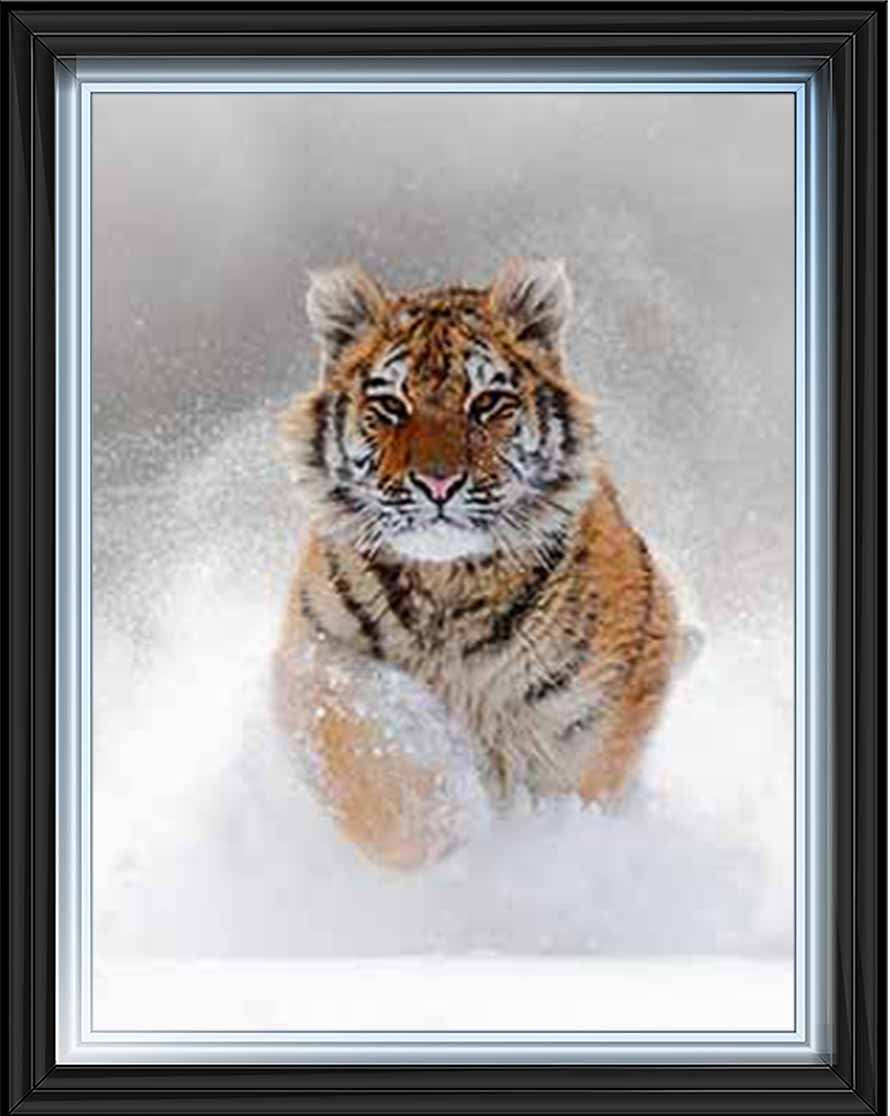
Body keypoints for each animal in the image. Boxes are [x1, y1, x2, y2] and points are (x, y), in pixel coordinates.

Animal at [274, 257, 691, 870]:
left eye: (487, 403)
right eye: (391, 407)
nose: (438, 482)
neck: (447, 583)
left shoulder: (600, 706)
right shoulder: (315, 658)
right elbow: (373, 756)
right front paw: (442, 837)